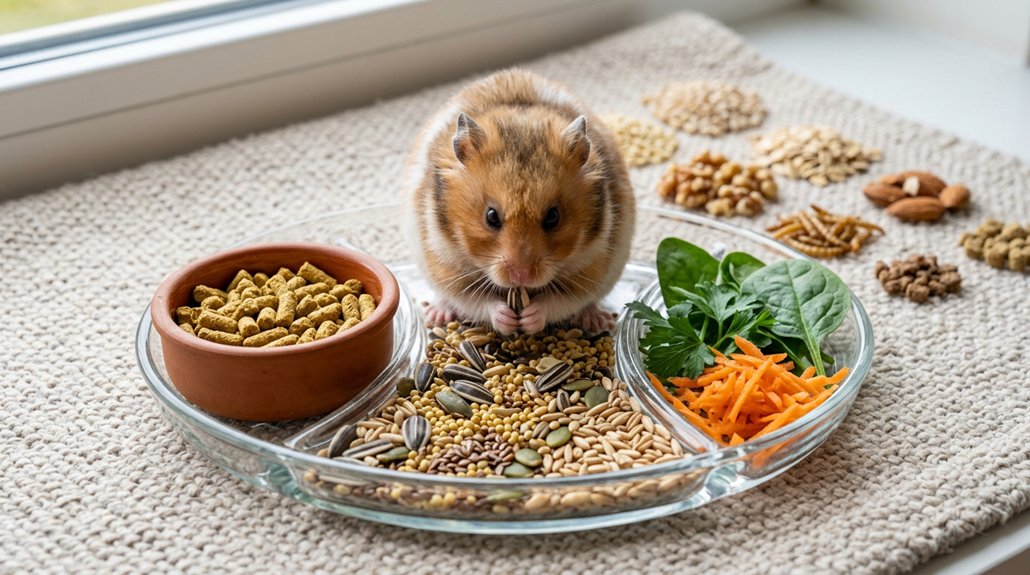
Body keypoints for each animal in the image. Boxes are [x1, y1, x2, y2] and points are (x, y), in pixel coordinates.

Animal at [404, 68, 635, 335]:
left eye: (553, 217)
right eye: (491, 216)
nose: (521, 277)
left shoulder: (592, 266)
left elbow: (560, 302)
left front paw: (528, 318)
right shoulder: (445, 263)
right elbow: (476, 300)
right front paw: (508, 319)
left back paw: (597, 320)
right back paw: (436, 314)